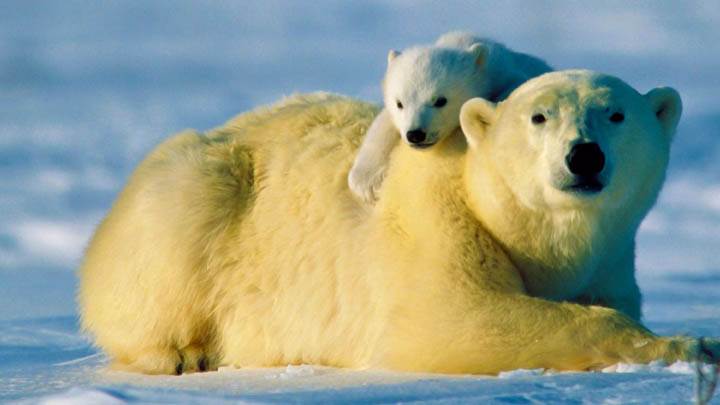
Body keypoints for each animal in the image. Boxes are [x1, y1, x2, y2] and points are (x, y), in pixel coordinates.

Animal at [78, 73, 719, 376]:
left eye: (617, 114)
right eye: (539, 116)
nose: (584, 156)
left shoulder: (610, 258)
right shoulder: (435, 221)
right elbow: (455, 317)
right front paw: (692, 342)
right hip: (198, 189)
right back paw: (182, 353)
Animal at [348, 32, 552, 202]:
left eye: (440, 100)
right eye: (399, 103)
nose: (416, 135)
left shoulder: (507, 72)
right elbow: (383, 123)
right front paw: (366, 182)